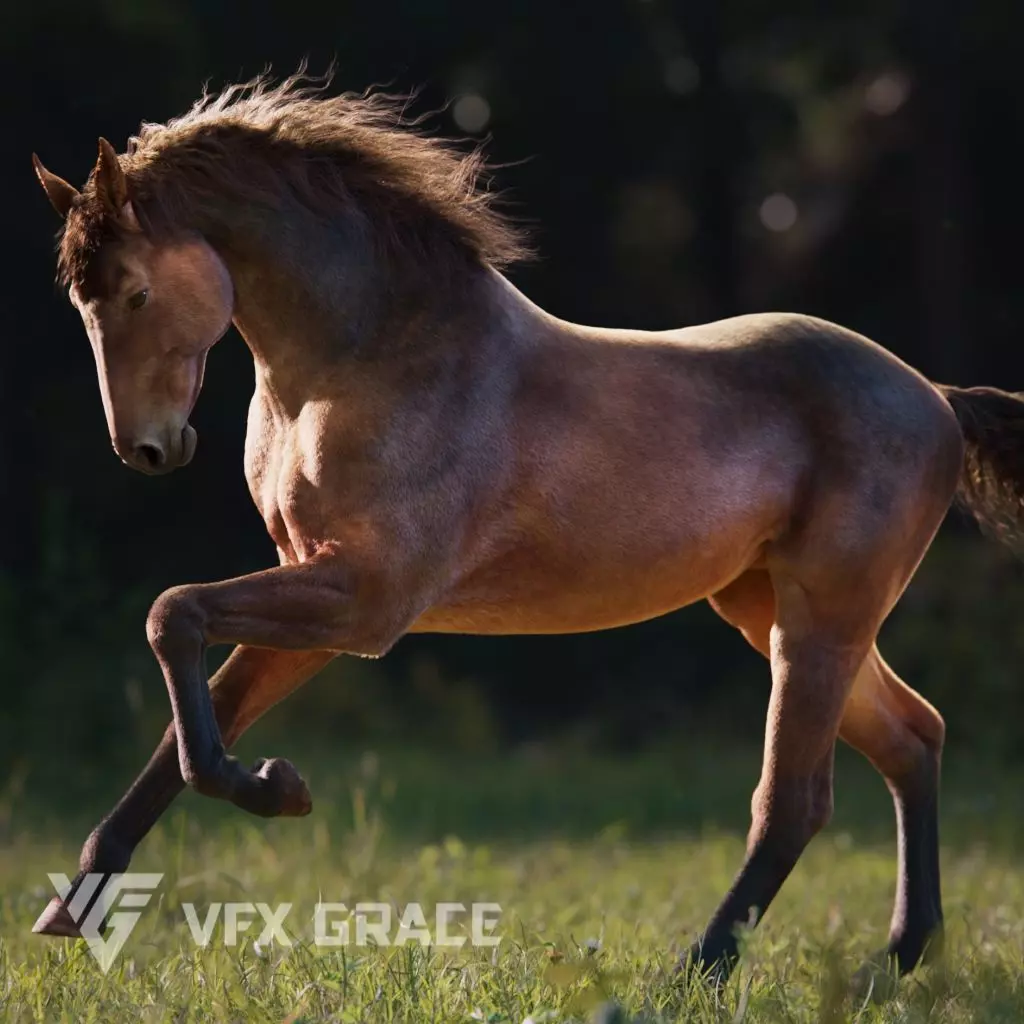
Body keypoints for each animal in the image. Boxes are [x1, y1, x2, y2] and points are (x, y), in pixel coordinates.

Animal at [30, 72, 1024, 984]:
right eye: (82, 301)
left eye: (135, 292)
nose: (147, 449)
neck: (363, 360)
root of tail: (936, 398)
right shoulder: (315, 592)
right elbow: (185, 712)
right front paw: (75, 906)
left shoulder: (365, 600)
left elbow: (173, 616)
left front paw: (278, 789)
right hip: (767, 608)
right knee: (914, 737)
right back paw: (903, 955)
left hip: (822, 618)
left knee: (796, 801)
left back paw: (696, 971)